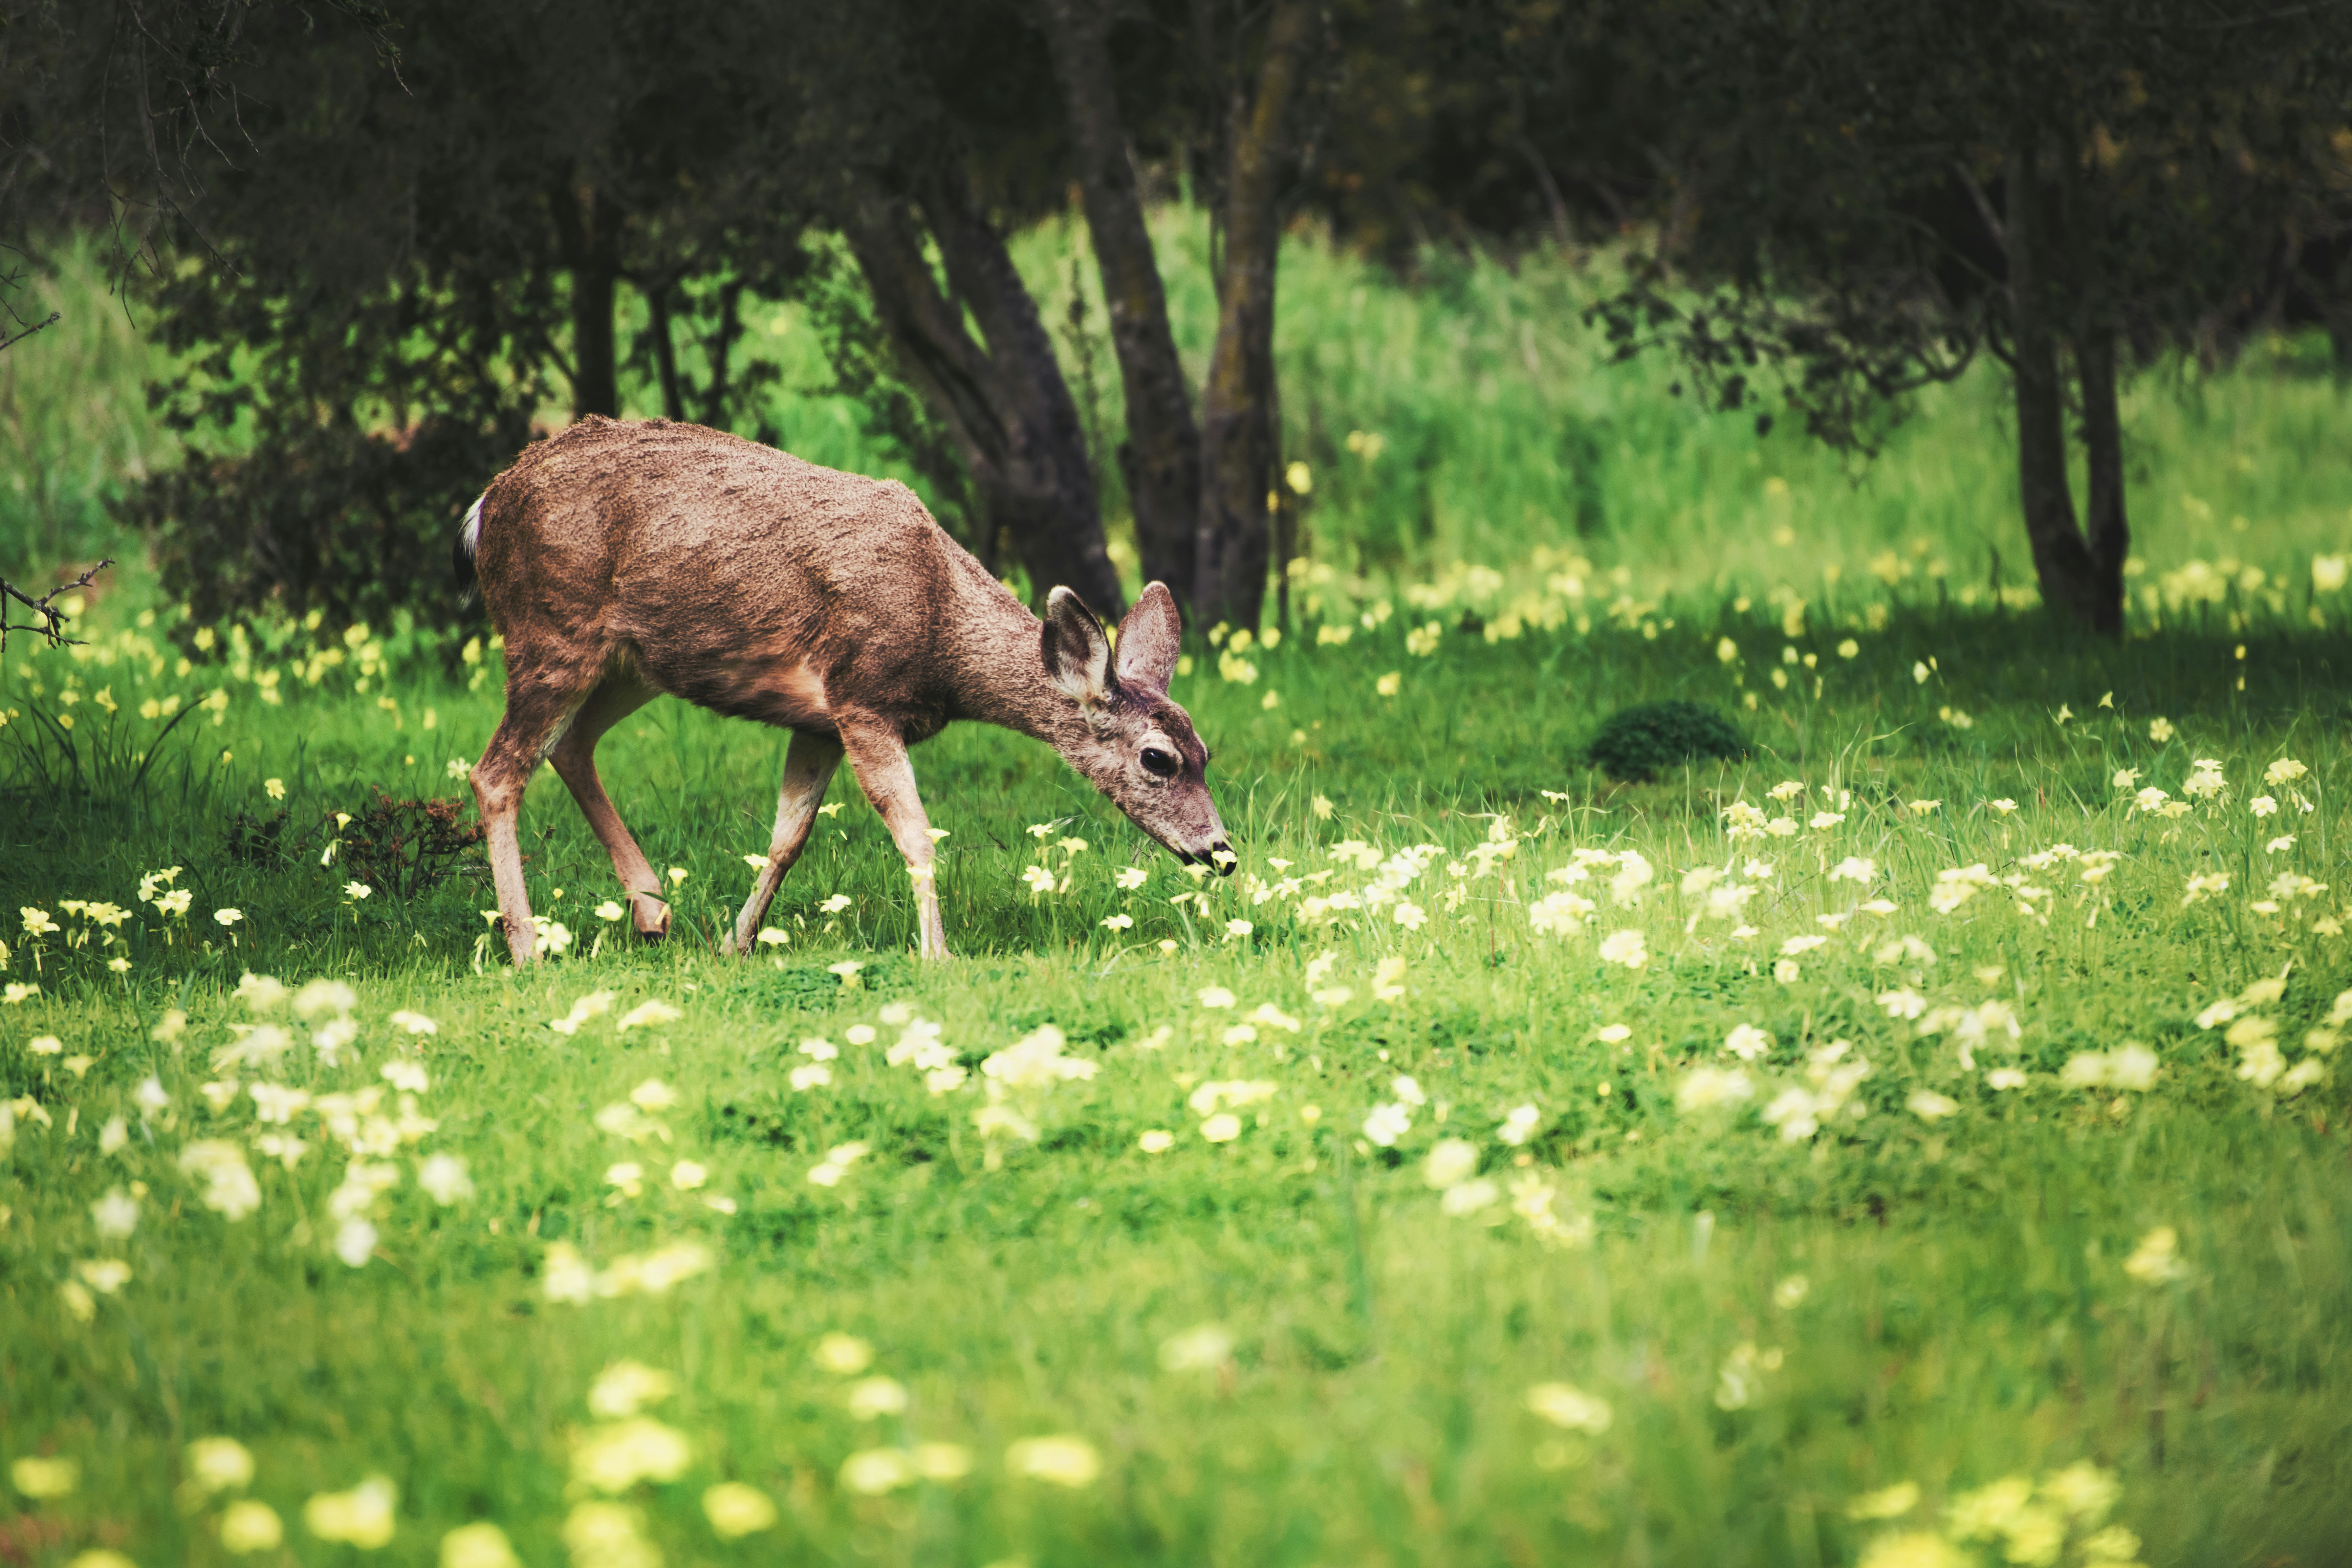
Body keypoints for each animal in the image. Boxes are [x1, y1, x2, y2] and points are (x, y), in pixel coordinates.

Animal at [454, 416, 1231, 965]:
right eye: (1157, 758)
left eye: (1205, 750)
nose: (1220, 851)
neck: (942, 633)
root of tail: (487, 502)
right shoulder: (861, 697)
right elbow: (916, 832)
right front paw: (937, 954)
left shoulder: (819, 721)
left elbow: (787, 837)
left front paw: (736, 942)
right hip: (551, 628)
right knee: (496, 772)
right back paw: (527, 948)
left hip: (632, 661)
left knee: (570, 746)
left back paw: (651, 911)